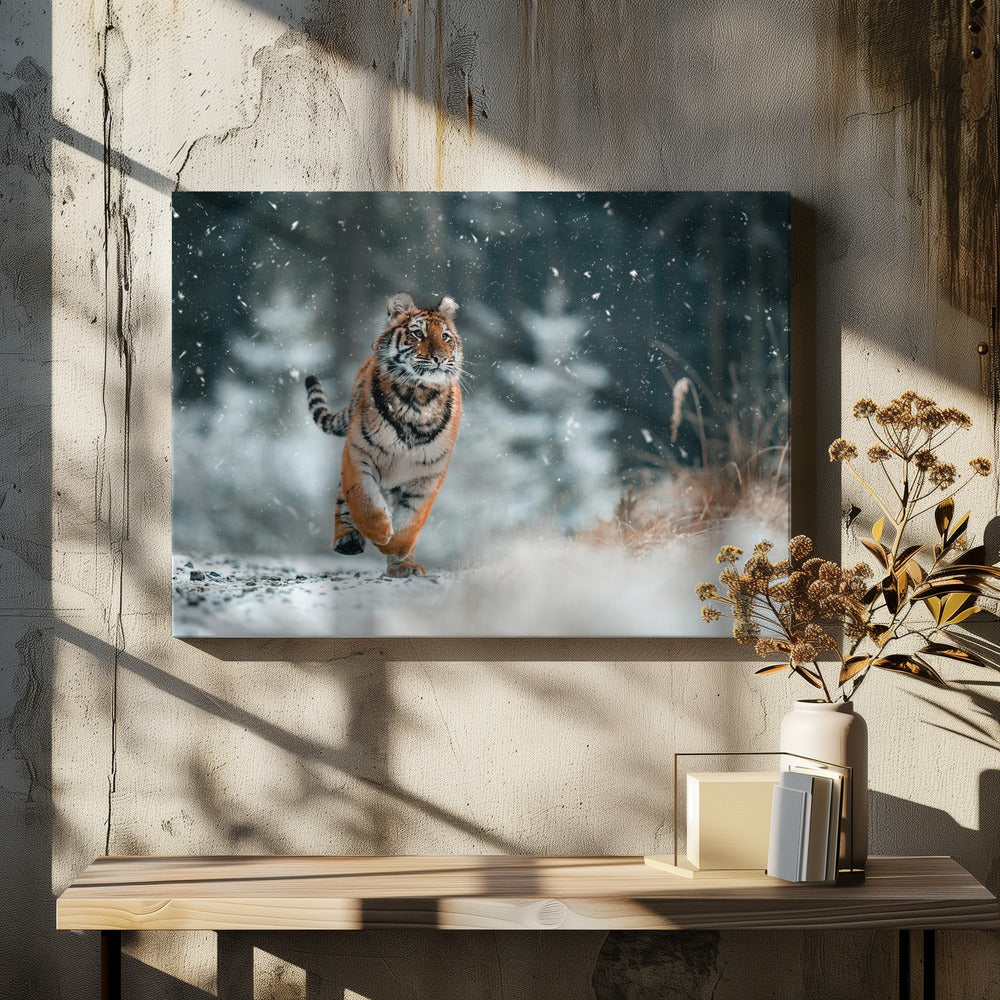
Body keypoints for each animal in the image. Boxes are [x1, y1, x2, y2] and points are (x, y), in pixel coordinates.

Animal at [305, 292, 463, 578]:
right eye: (418, 333)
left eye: (445, 337)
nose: (439, 358)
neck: (417, 399)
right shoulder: (358, 453)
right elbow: (364, 500)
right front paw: (380, 533)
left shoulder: (429, 474)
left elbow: (412, 519)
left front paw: (396, 548)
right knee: (342, 499)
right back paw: (347, 540)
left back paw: (404, 566)